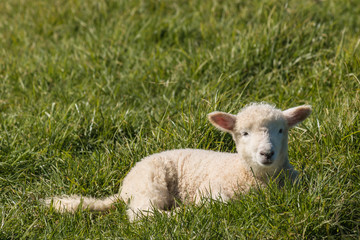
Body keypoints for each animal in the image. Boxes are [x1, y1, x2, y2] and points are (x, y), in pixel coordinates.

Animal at [45, 102, 310, 221]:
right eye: (244, 133)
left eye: (281, 130)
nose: (267, 153)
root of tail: (123, 189)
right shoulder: (210, 190)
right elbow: (218, 203)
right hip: (151, 185)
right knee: (142, 214)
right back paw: (177, 213)